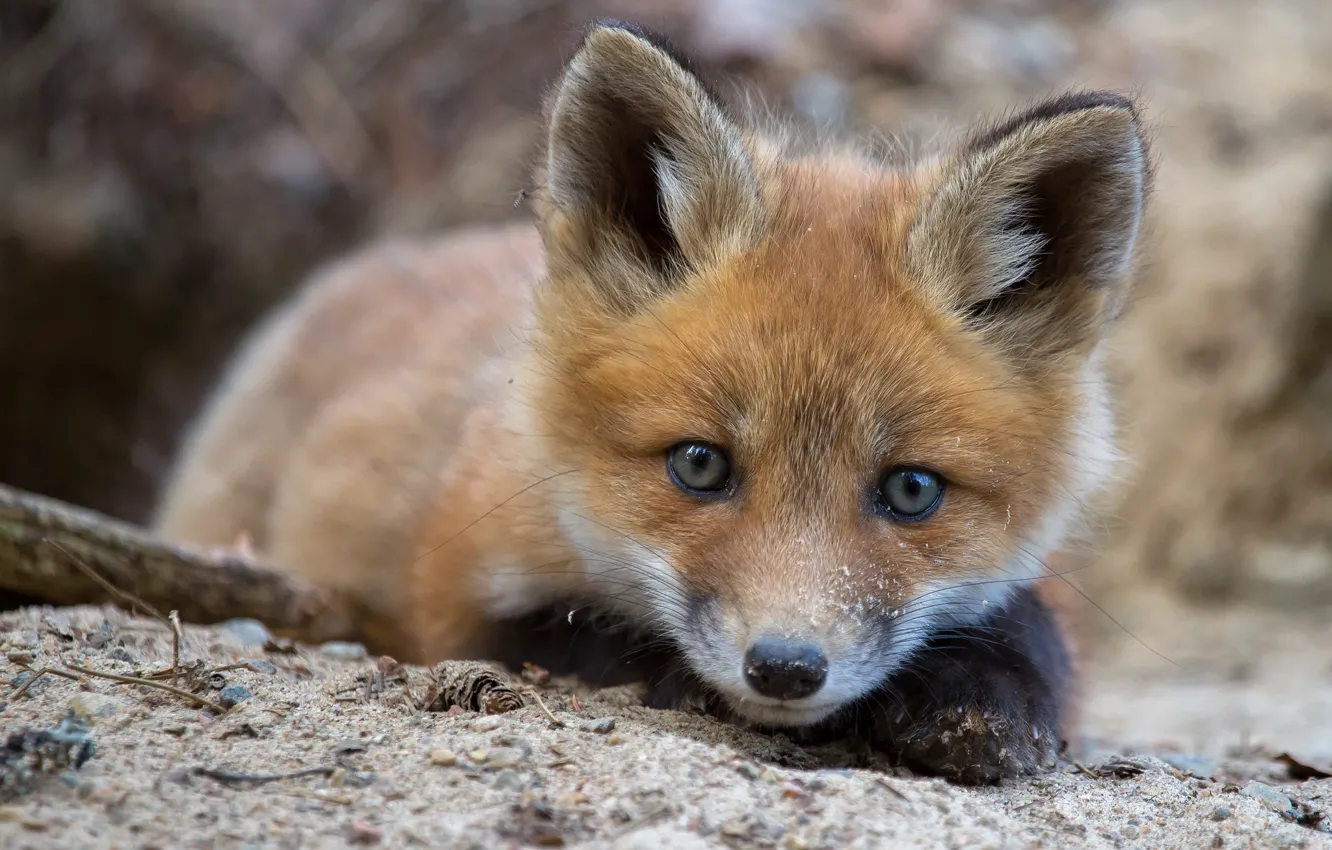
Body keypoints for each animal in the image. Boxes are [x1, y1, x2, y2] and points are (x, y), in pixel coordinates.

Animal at [152, 20, 1150, 784]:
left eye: (912, 491)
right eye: (699, 465)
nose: (786, 669)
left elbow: (1038, 639)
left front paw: (980, 700)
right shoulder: (455, 587)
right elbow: (594, 636)